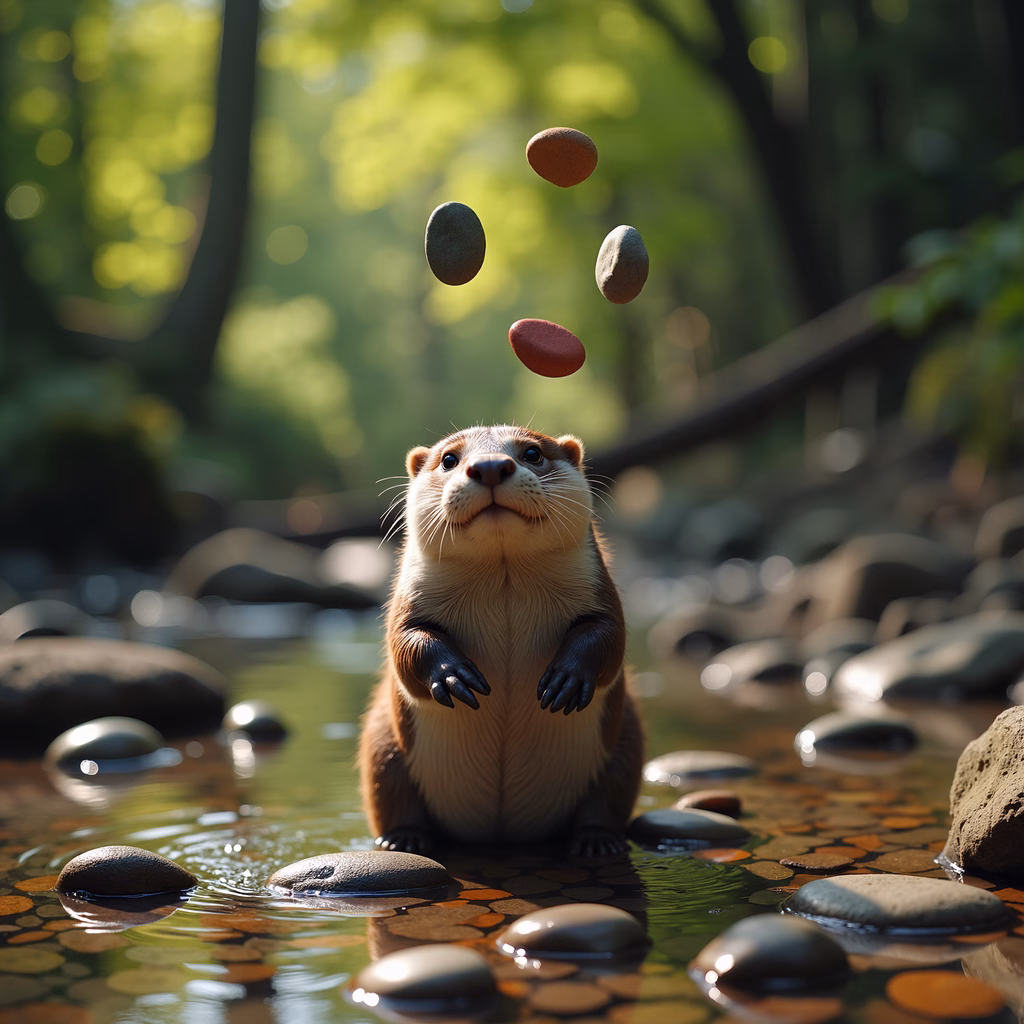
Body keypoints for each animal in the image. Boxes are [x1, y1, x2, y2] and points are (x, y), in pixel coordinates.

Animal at [358, 425, 643, 857]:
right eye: (449, 459)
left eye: (533, 453)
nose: (490, 465)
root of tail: (501, 833)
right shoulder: (406, 605)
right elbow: (406, 644)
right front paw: (453, 675)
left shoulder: (600, 591)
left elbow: (608, 635)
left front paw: (567, 678)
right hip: (382, 745)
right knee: (392, 794)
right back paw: (402, 840)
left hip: (626, 739)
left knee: (607, 799)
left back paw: (597, 841)